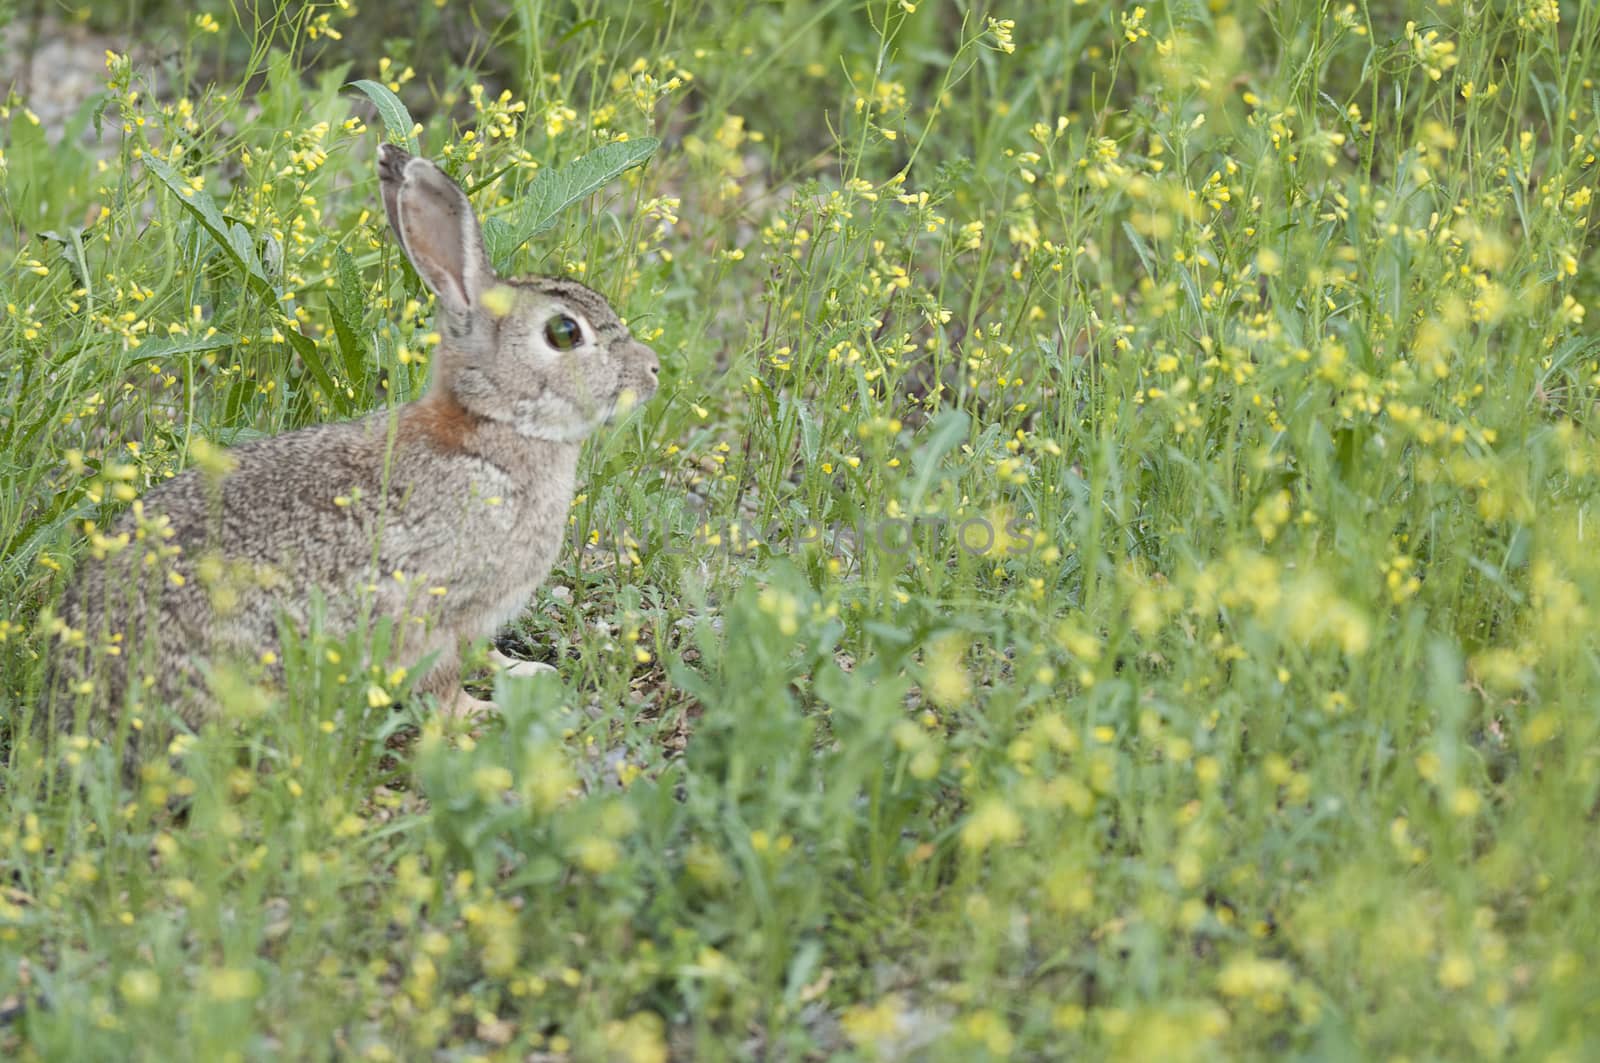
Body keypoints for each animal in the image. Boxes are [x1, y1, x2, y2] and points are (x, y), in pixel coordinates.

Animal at [48, 145, 662, 742]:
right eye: (564, 333)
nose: (653, 369)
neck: (493, 424)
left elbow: (482, 653)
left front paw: (526, 673)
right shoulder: (433, 604)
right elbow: (441, 679)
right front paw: (476, 716)